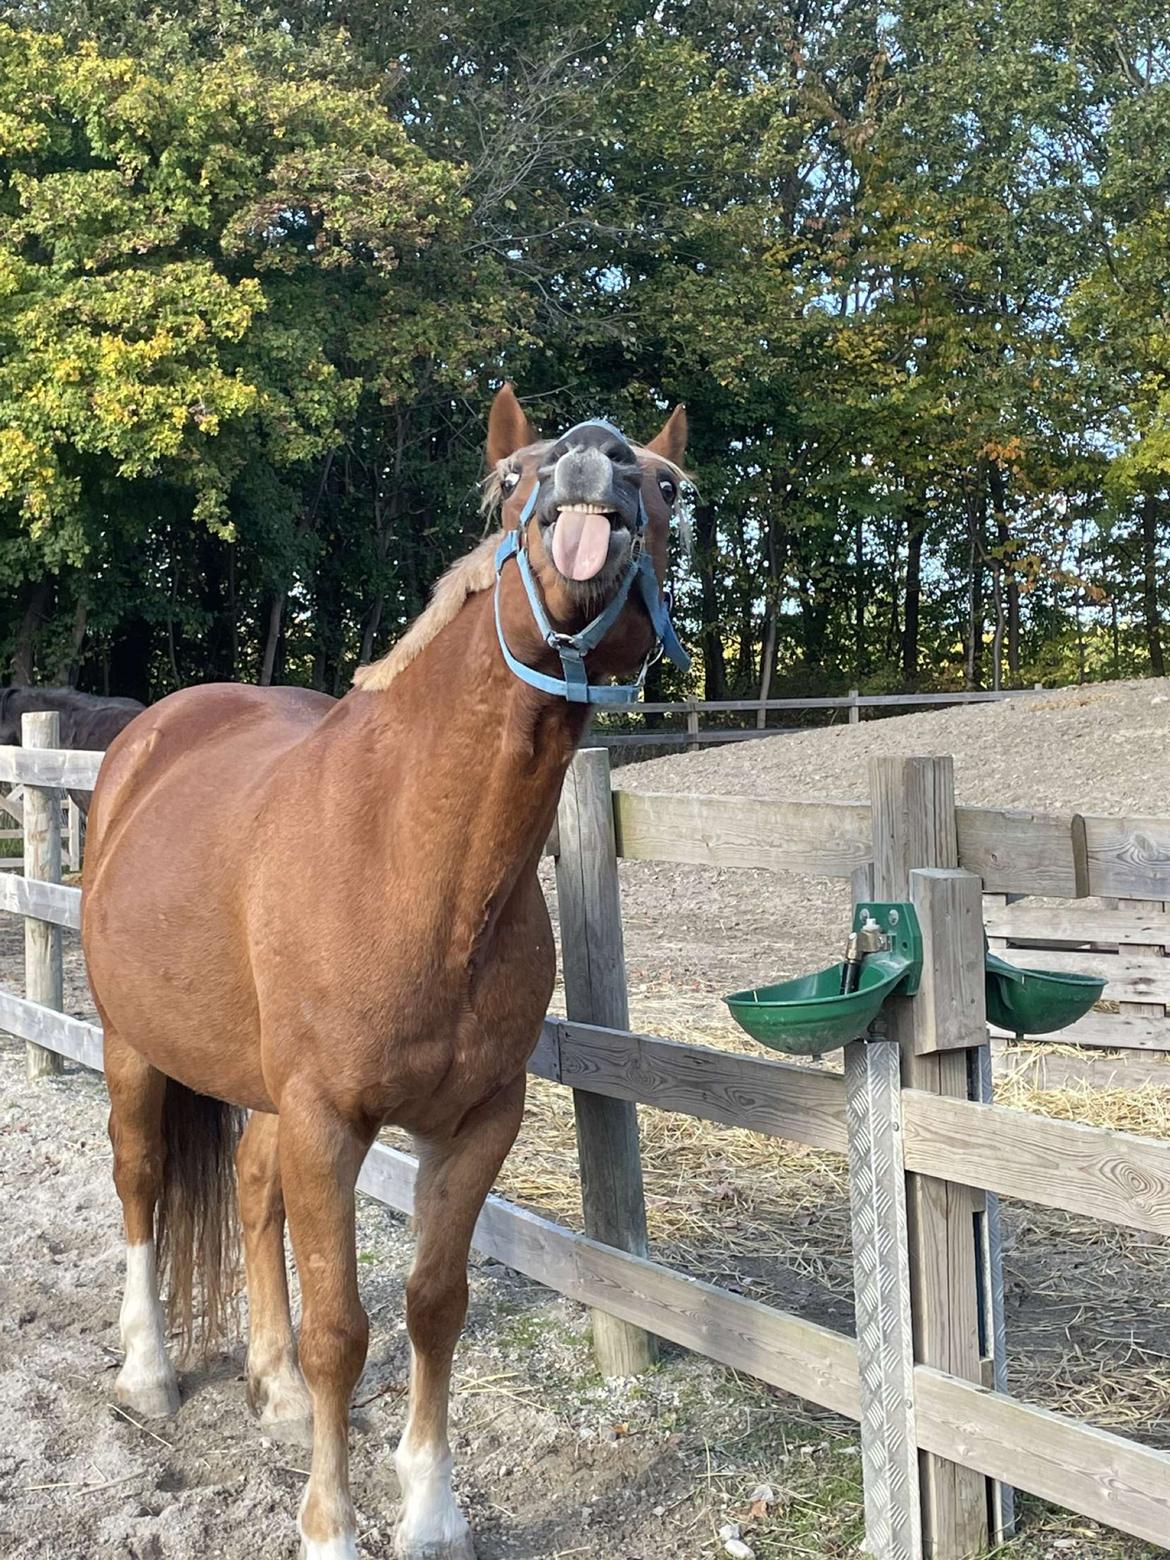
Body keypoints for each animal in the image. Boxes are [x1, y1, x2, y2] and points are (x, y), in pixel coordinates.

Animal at [84, 380, 686, 1560]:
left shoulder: (477, 1120)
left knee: (250, 1187)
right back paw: (149, 1372)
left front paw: (433, 1511)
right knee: (139, 1184)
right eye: (514, 476)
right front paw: (329, 1525)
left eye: (667, 483)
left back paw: (269, 1389)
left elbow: (431, 1305)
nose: (594, 463)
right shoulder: (329, 1120)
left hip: (263, 1091)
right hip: (134, 1047)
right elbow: (342, 1330)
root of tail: (149, 737)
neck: (415, 865)